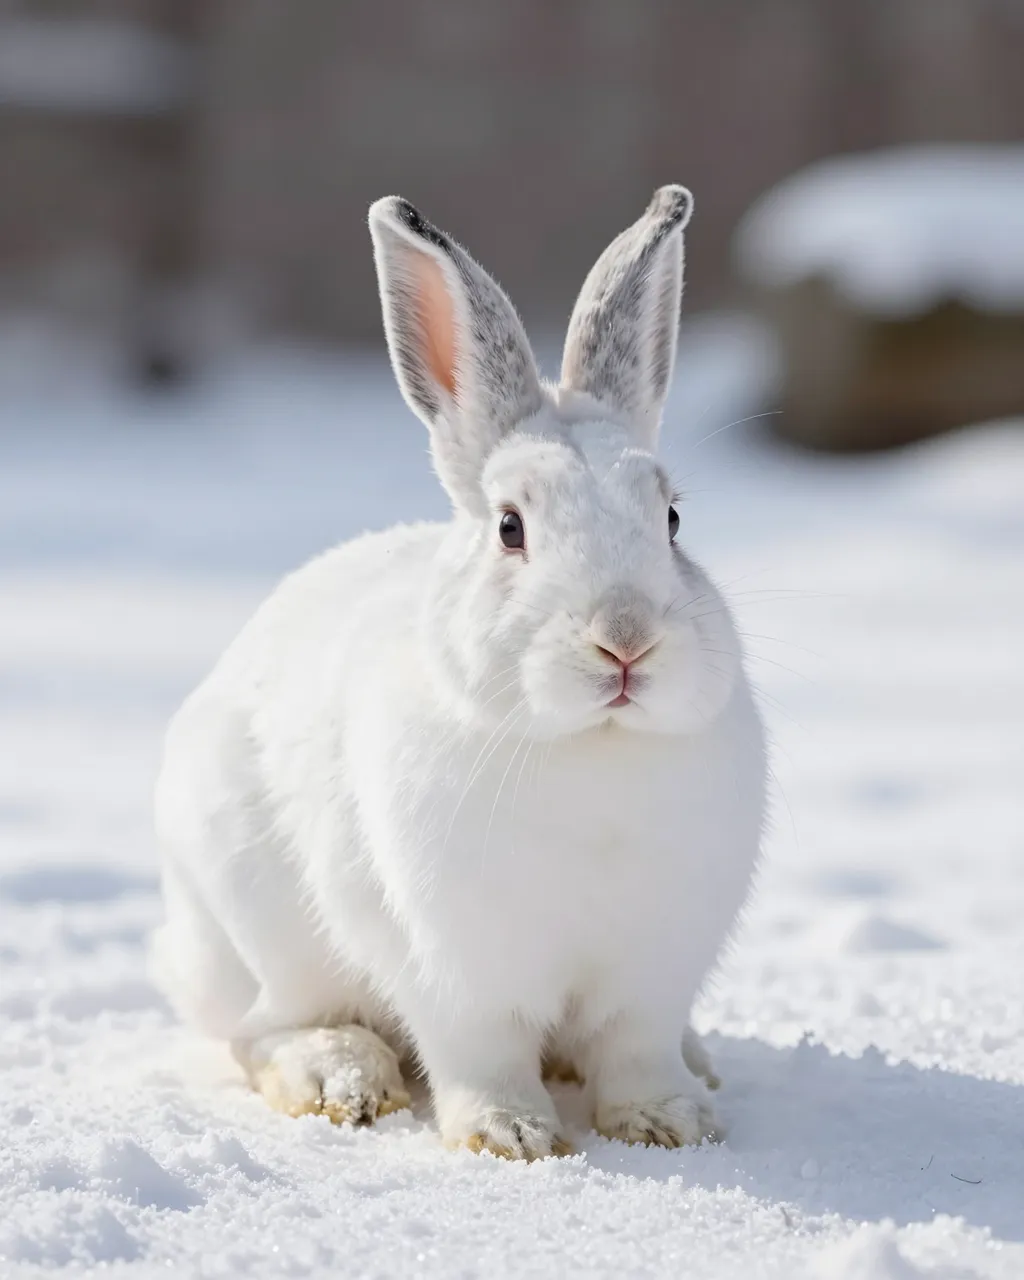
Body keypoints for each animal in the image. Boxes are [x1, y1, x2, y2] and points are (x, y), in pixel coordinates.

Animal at [151, 184, 766, 1160]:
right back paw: (339, 1077)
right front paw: (511, 1135)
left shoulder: (652, 972)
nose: (625, 640)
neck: (592, 745)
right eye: (511, 527)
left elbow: (637, 1049)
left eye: (671, 521)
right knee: (261, 1030)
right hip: (250, 930)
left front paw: (670, 1122)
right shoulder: (458, 971)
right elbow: (484, 1052)